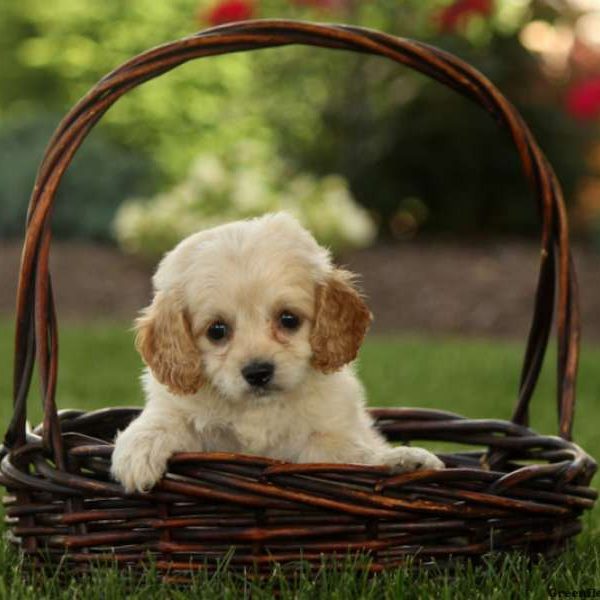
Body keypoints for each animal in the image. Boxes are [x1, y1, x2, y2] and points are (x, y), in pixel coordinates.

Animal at [111, 211, 440, 492]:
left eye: (288, 319)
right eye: (217, 330)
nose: (258, 372)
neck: (258, 410)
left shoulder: (327, 432)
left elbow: (345, 452)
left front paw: (400, 459)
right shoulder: (180, 411)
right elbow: (161, 421)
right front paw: (137, 454)